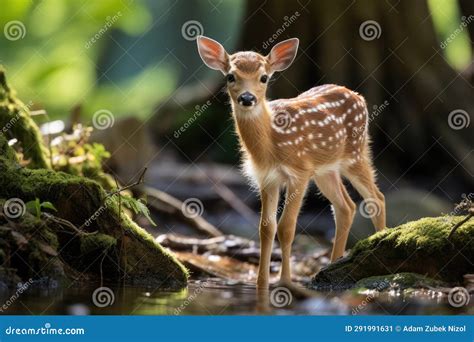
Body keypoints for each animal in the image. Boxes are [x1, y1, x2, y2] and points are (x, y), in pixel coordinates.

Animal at [196, 36, 386, 288]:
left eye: (264, 77)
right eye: (230, 76)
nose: (247, 98)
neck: (270, 145)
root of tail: (358, 96)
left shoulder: (299, 172)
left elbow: (287, 226)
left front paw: (285, 280)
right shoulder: (267, 178)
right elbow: (266, 228)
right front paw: (261, 281)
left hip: (355, 153)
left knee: (376, 198)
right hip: (325, 170)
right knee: (346, 206)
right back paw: (332, 265)